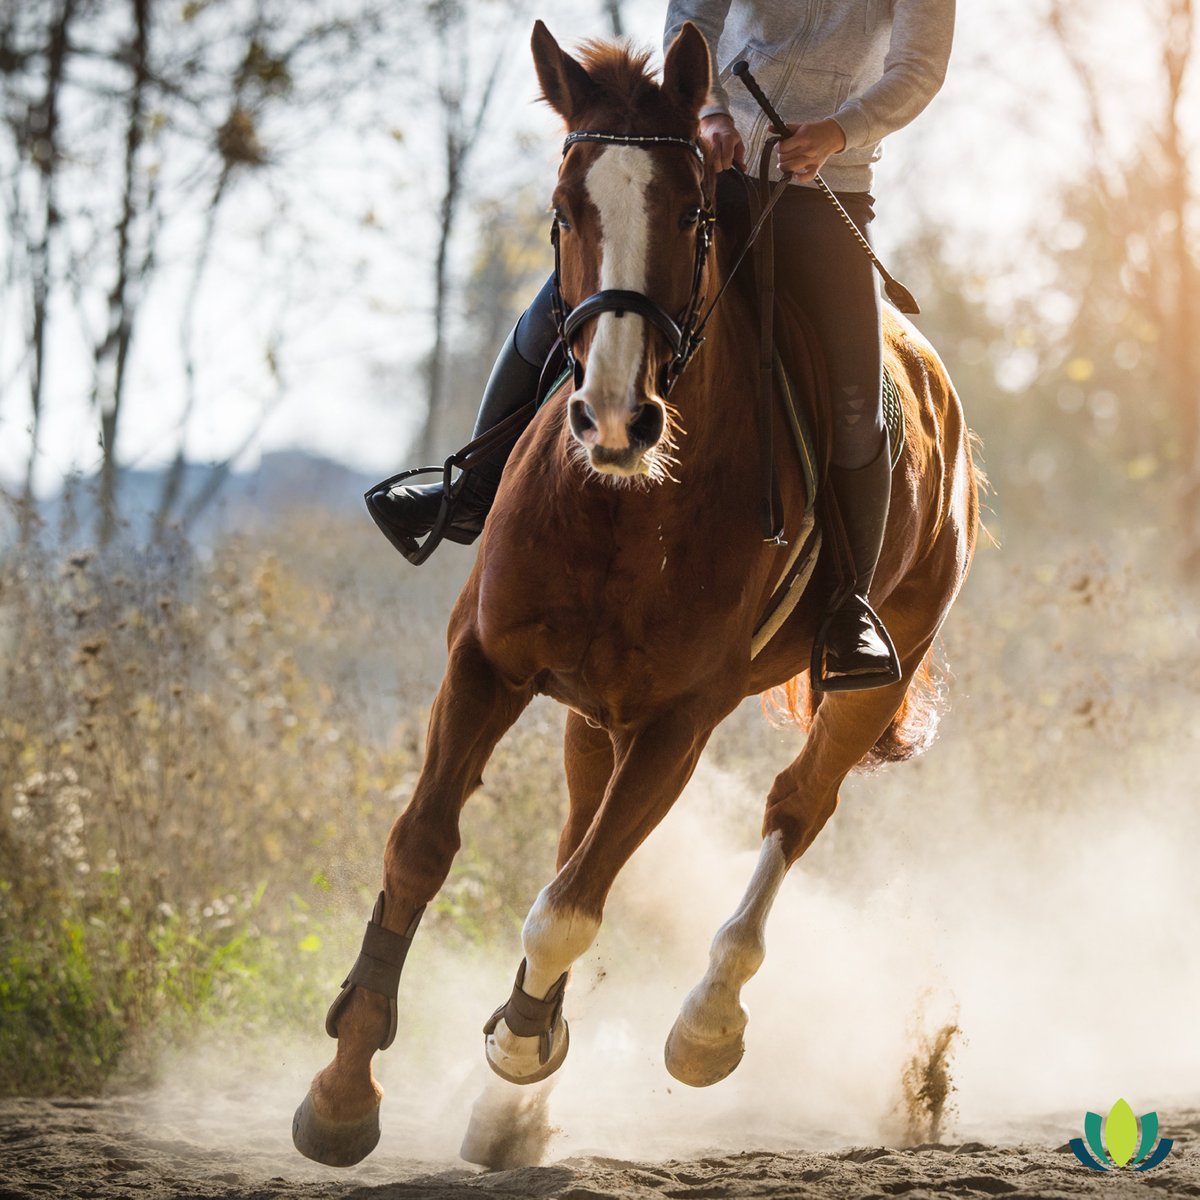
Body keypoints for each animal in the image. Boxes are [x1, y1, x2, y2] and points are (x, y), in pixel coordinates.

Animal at [292, 19, 979, 1168]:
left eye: (693, 213)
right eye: (565, 208)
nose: (616, 417)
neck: (620, 506)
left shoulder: (679, 719)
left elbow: (569, 907)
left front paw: (523, 1047)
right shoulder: (484, 664)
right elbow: (422, 849)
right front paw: (346, 1091)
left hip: (871, 679)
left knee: (793, 809)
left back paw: (703, 1024)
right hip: (590, 710)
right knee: (582, 826)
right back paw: (515, 1101)